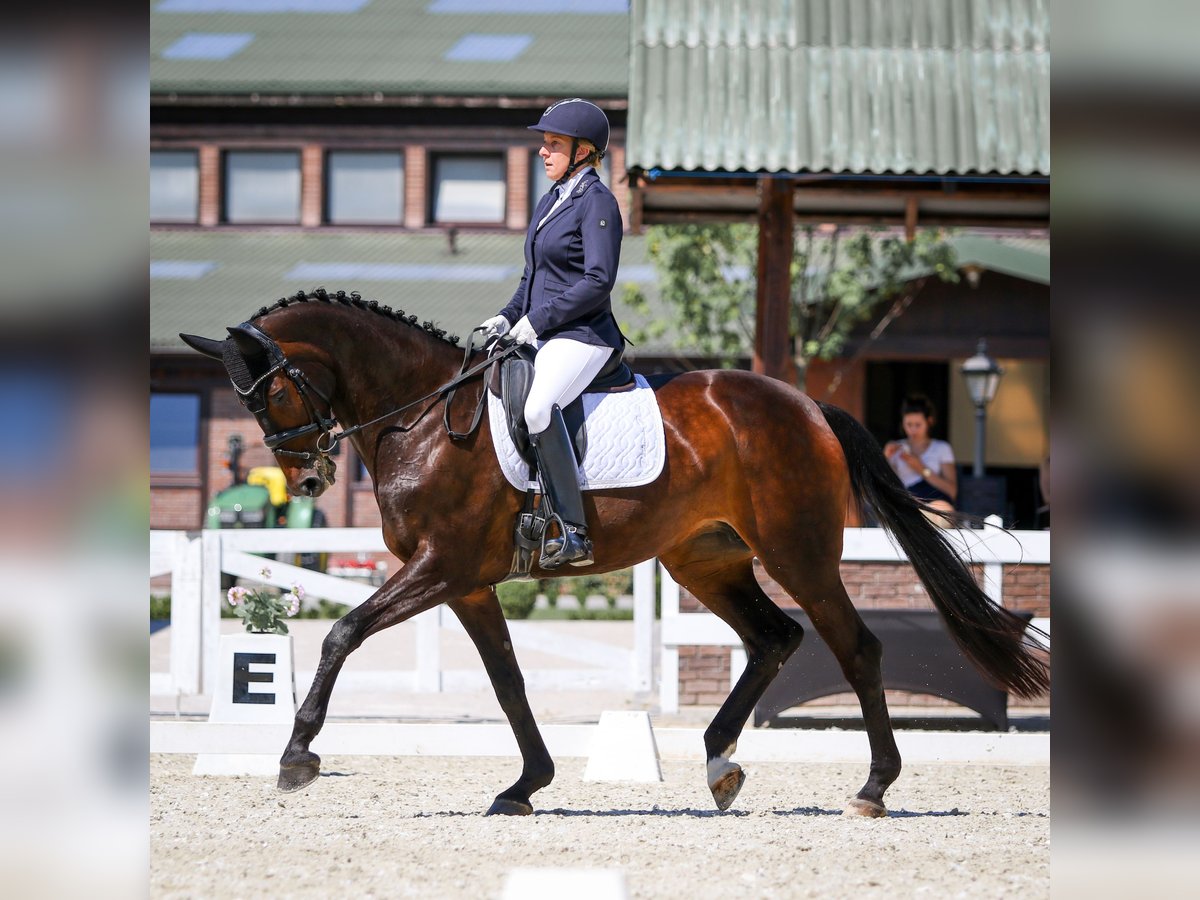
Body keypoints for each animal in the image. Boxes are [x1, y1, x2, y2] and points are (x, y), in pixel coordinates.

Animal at [180, 289, 1051, 816]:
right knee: (776, 637)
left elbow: (340, 633)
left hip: (798, 554)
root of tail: (805, 403)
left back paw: (871, 787)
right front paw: (526, 785)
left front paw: (297, 754)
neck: (424, 420)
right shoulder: (469, 584)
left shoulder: (442, 567)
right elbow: (507, 682)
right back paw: (718, 763)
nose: (305, 476)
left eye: (273, 392)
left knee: (855, 646)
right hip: (704, 558)